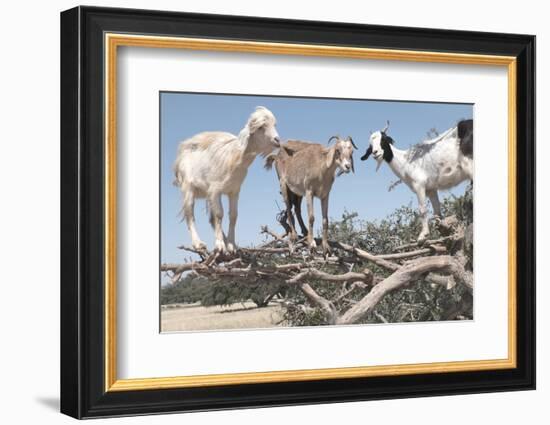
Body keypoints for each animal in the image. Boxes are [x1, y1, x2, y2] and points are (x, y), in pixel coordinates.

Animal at [175, 107, 282, 252]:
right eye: (261, 127)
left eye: (274, 124)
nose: (277, 140)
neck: (235, 157)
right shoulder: (215, 190)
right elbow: (219, 214)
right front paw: (220, 245)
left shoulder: (234, 191)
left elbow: (233, 215)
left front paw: (231, 245)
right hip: (188, 188)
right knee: (190, 214)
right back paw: (198, 244)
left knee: (210, 219)